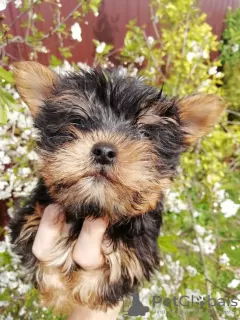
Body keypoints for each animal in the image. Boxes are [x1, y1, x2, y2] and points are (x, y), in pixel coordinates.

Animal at [8, 61, 223, 314]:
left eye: (144, 133)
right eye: (78, 122)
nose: (104, 151)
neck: (93, 209)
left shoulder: (139, 250)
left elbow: (114, 272)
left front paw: (84, 296)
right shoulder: (32, 219)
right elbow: (43, 260)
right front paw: (59, 297)